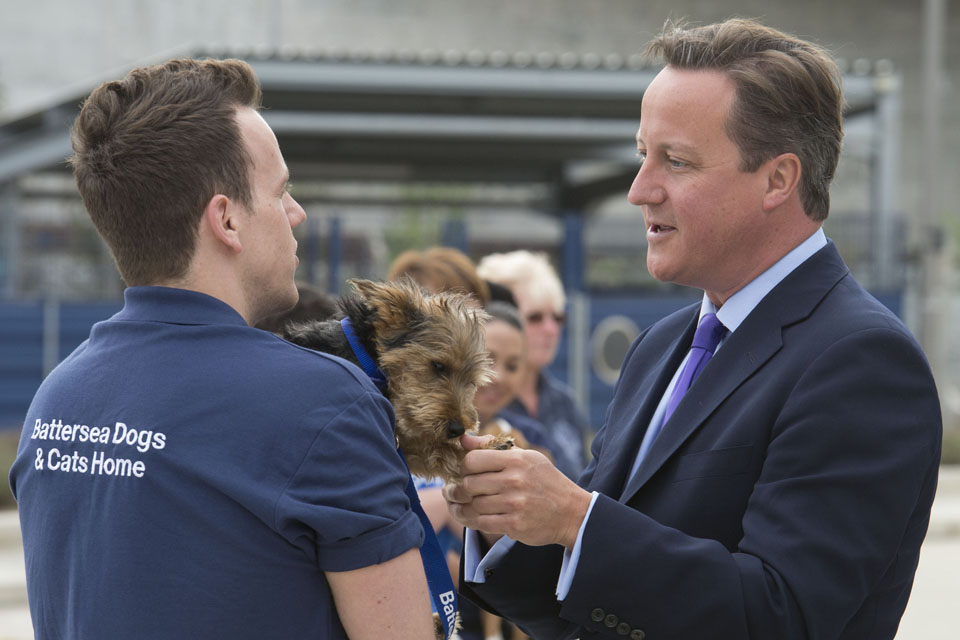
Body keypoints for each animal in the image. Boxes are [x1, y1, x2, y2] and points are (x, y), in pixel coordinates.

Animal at [282, 278, 512, 482]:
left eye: (472, 382)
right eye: (438, 366)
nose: (458, 429)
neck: (367, 358)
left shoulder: (405, 444)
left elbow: (433, 449)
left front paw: (485, 449)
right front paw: (487, 447)